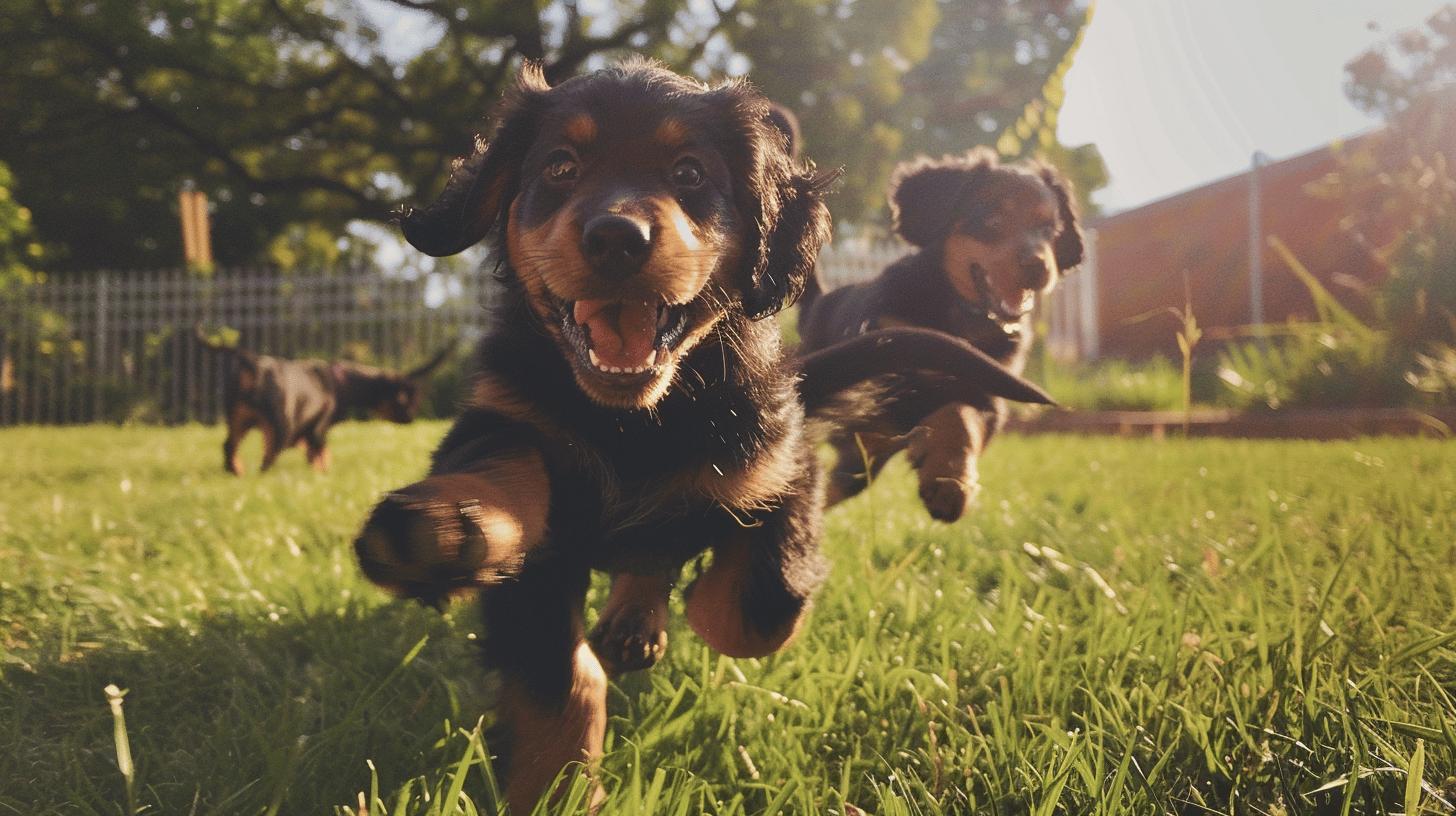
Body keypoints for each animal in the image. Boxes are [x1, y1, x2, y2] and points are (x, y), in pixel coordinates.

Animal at [196, 327, 451, 475]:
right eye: (406, 401)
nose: (411, 420)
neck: (340, 381)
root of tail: (254, 364)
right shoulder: (319, 428)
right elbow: (321, 454)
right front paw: (323, 473)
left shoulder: (310, 432)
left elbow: (316, 453)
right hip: (281, 424)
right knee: (268, 456)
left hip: (238, 419)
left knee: (229, 447)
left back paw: (236, 471)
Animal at [347, 60, 1054, 810]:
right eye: (561, 167)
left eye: (688, 172)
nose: (616, 238)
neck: (637, 417)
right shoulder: (507, 416)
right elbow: (558, 660)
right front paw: (449, 529)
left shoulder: (781, 461)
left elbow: (749, 605)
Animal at [797, 147, 1083, 521]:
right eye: (991, 220)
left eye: (1049, 229)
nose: (1039, 267)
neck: (960, 315)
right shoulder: (889, 358)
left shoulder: (986, 390)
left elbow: (960, 417)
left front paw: (949, 481)